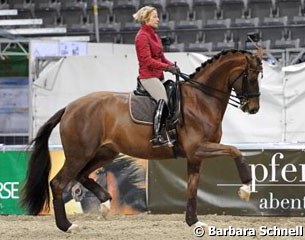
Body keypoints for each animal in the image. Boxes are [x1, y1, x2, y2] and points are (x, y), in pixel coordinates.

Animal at [21, 49, 262, 232]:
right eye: (250, 75)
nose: (253, 109)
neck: (201, 100)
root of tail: (69, 107)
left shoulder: (195, 156)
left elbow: (192, 188)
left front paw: (193, 222)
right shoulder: (199, 148)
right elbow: (235, 151)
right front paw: (245, 188)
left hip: (104, 152)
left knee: (82, 175)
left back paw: (105, 202)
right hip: (79, 154)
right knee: (58, 183)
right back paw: (67, 226)